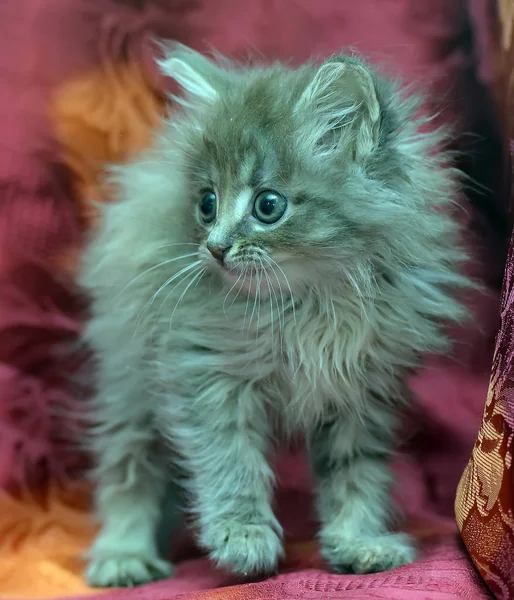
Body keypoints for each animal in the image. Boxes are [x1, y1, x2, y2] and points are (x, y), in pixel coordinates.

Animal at [80, 45, 468, 584]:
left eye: (268, 206)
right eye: (207, 203)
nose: (215, 248)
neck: (310, 304)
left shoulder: (362, 389)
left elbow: (356, 473)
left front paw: (359, 541)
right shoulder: (206, 371)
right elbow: (231, 461)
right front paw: (243, 537)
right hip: (129, 377)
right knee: (129, 464)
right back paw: (123, 554)